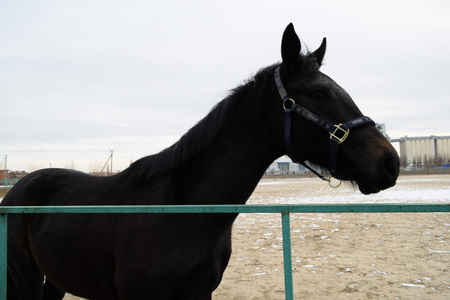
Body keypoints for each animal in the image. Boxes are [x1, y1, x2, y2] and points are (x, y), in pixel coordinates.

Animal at [2, 24, 398, 300]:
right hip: (26, 278)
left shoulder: (201, 292)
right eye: (318, 93)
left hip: (55, 279)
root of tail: (17, 190)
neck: (181, 211)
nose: (389, 162)